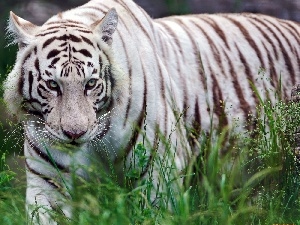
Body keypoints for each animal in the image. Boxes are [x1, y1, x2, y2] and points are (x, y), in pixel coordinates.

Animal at [2, 0, 300, 223]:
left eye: (91, 84)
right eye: (53, 84)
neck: (95, 141)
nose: (75, 133)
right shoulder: (47, 183)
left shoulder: (159, 174)